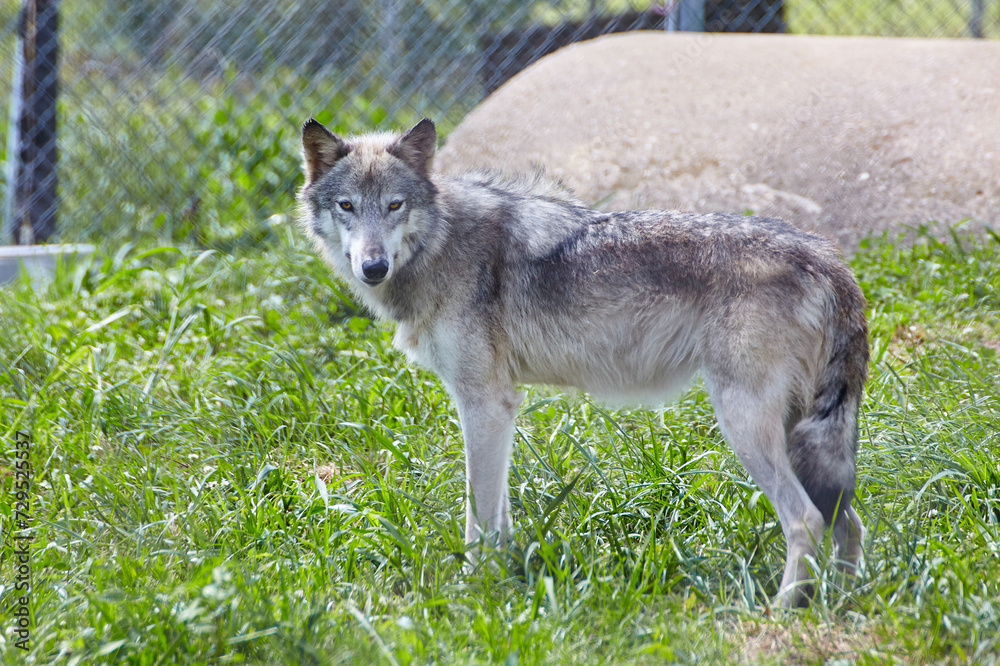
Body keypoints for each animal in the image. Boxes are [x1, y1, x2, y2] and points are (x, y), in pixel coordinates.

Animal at [296, 118, 869, 607]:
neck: (441, 243)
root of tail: (828, 260)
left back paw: (781, 611)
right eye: (347, 206)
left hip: (745, 425)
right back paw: (841, 604)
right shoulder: (500, 408)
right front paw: (508, 581)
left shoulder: (483, 404)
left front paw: (473, 590)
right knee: (848, 522)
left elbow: (478, 515)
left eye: (394, 205)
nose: (373, 266)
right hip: (802, 434)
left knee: (806, 520)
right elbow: (500, 513)